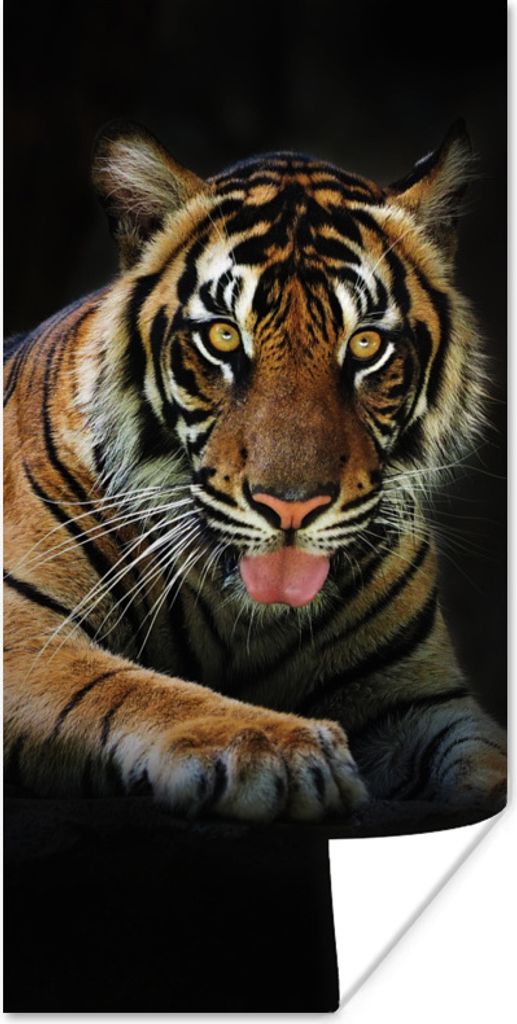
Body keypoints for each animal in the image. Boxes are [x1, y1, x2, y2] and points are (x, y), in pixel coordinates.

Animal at [3, 119, 506, 825]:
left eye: (365, 344)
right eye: (221, 338)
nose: (291, 505)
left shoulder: (416, 698)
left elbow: (487, 755)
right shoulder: (25, 636)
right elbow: (129, 685)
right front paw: (275, 749)